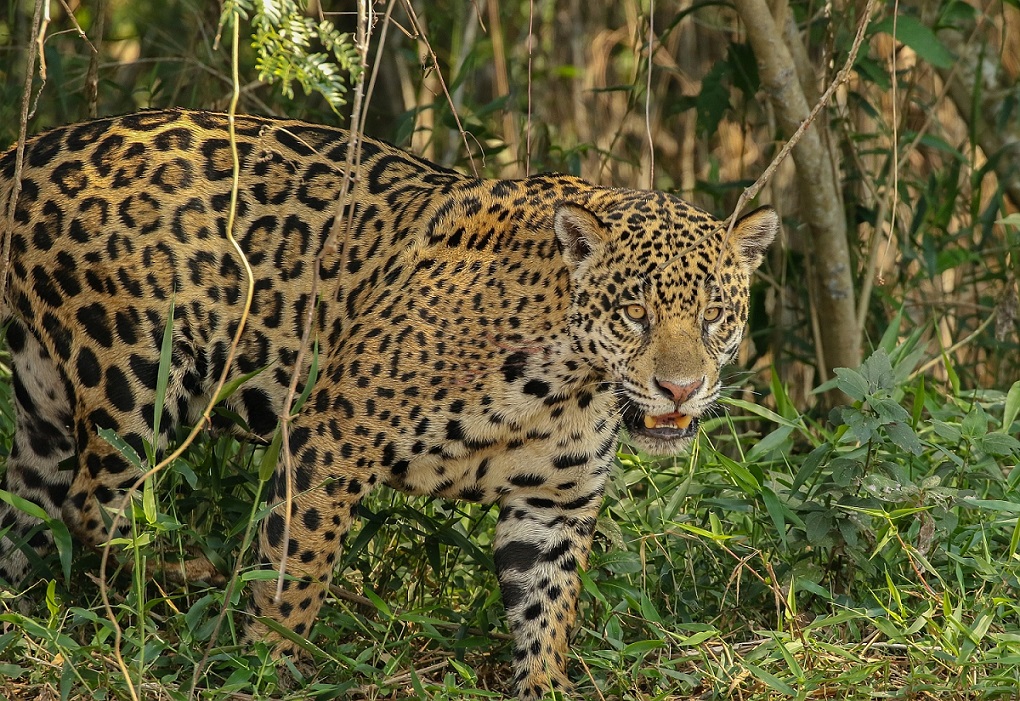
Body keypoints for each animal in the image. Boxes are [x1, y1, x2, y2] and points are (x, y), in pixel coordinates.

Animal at [0, 108, 776, 698]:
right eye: (635, 314)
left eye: (714, 314)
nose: (681, 388)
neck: (567, 385)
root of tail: (29, 147)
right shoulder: (328, 441)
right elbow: (298, 573)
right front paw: (267, 667)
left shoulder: (552, 507)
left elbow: (546, 610)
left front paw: (546, 686)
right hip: (132, 379)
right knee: (95, 513)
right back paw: (166, 594)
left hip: (44, 412)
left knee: (31, 509)